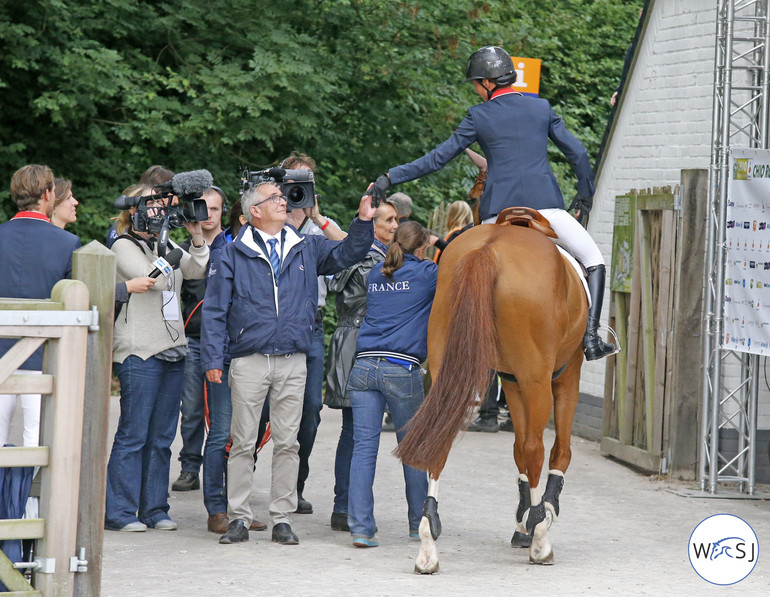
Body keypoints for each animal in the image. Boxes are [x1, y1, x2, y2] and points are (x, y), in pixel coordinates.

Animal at [392, 220, 584, 572]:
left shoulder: (511, 381)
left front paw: (523, 520)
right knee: (536, 448)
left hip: (448, 368)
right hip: (537, 378)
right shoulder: (565, 373)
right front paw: (540, 515)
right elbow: (556, 451)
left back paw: (427, 543)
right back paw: (540, 539)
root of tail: (489, 248)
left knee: (438, 441)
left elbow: (518, 449)